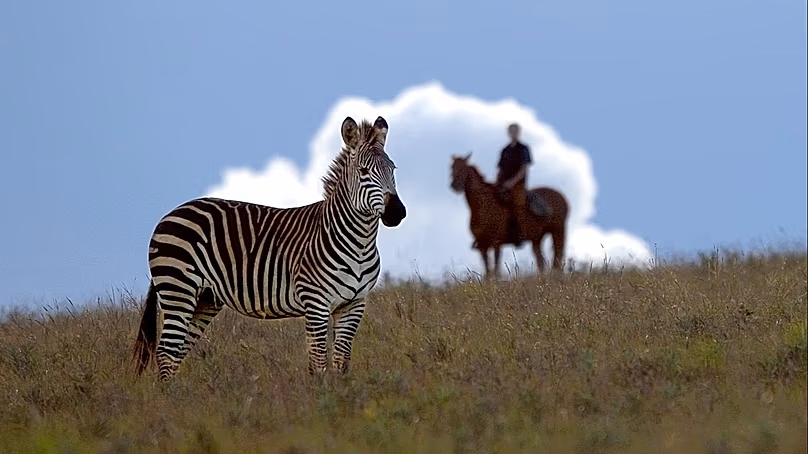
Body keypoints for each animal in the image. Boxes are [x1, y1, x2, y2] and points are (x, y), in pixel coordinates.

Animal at [132, 116, 406, 381]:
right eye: (363, 171)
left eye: (393, 169)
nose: (397, 213)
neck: (359, 243)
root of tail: (171, 213)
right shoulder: (316, 303)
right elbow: (318, 364)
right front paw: (322, 396)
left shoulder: (354, 304)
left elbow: (341, 362)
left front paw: (343, 395)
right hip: (178, 289)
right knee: (166, 351)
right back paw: (171, 397)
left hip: (205, 299)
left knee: (177, 352)